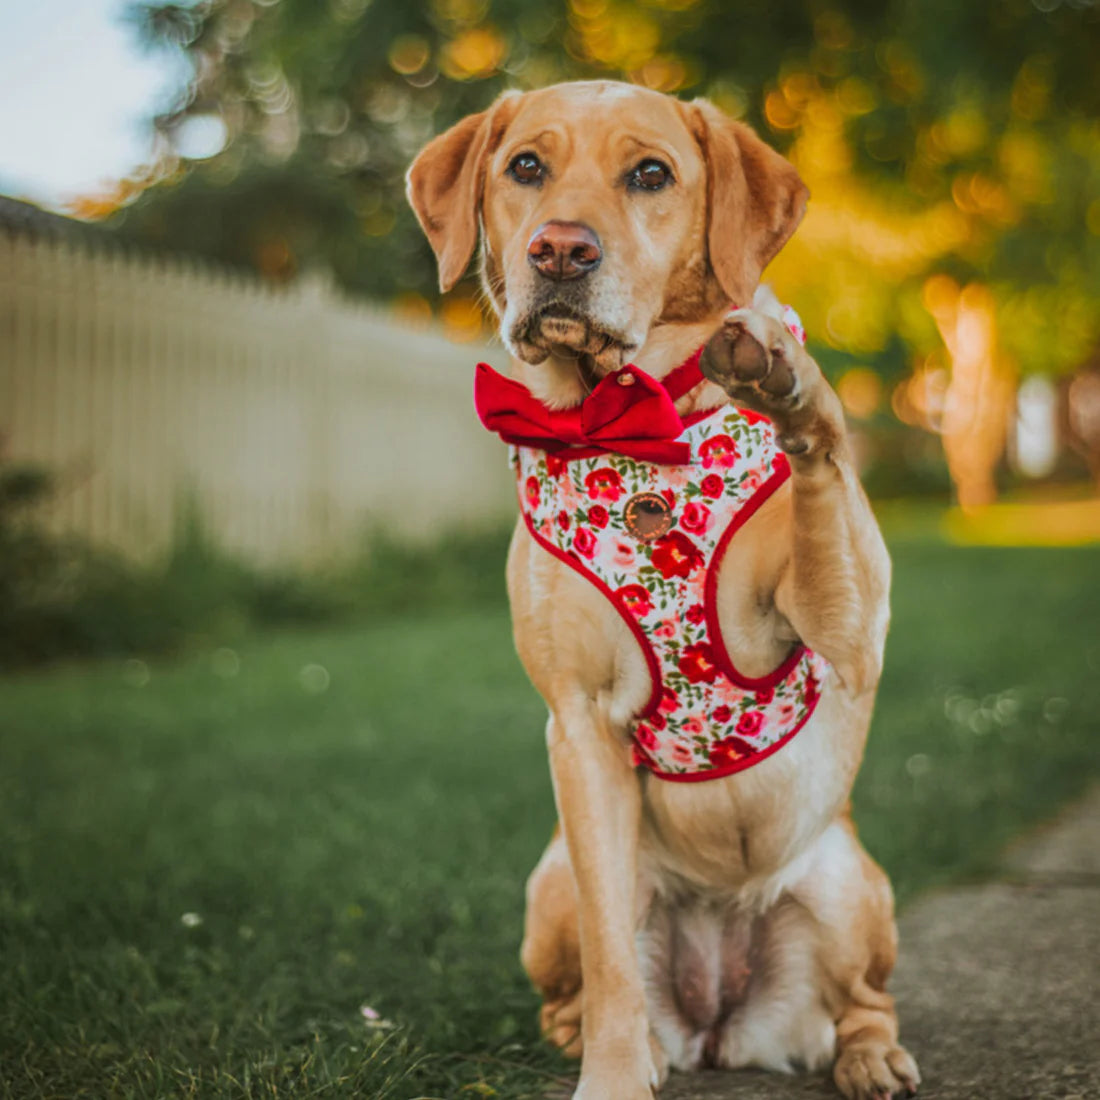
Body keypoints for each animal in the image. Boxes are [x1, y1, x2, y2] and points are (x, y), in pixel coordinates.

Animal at [409, 79, 915, 1100]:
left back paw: (870, 1056)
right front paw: (610, 1072)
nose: (560, 249)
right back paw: (626, 1044)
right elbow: (610, 964)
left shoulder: (854, 636)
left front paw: (787, 378)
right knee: (580, 988)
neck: (626, 420)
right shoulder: (578, 727)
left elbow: (821, 457)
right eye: (526, 165)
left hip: (849, 886)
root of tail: (722, 1024)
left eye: (650, 174)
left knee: (864, 1002)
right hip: (552, 880)